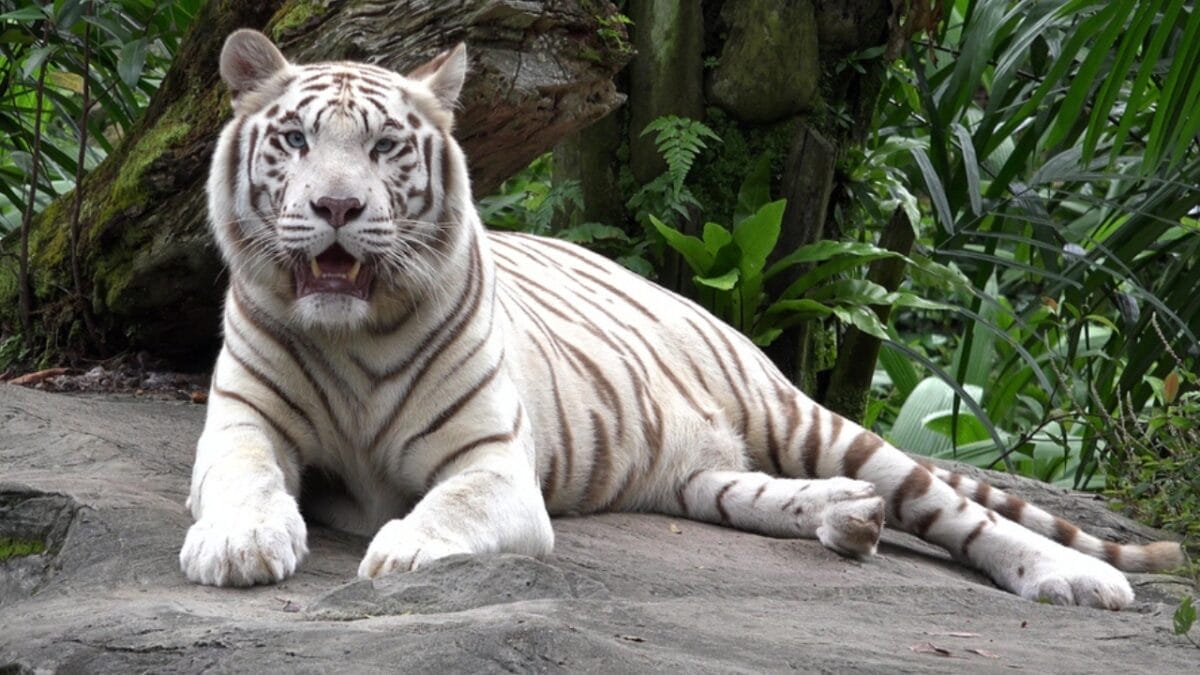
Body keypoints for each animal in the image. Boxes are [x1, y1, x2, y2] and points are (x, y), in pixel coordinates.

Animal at [180, 29, 1183, 610]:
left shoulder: (492, 464)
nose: (338, 207)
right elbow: (241, 477)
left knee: (957, 510)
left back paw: (1078, 577)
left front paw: (402, 557)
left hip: (811, 417)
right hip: (696, 473)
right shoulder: (241, 422)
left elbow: (449, 506)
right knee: (758, 491)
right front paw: (237, 543)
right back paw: (846, 520)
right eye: (295, 139)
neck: (351, 332)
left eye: (386, 146)